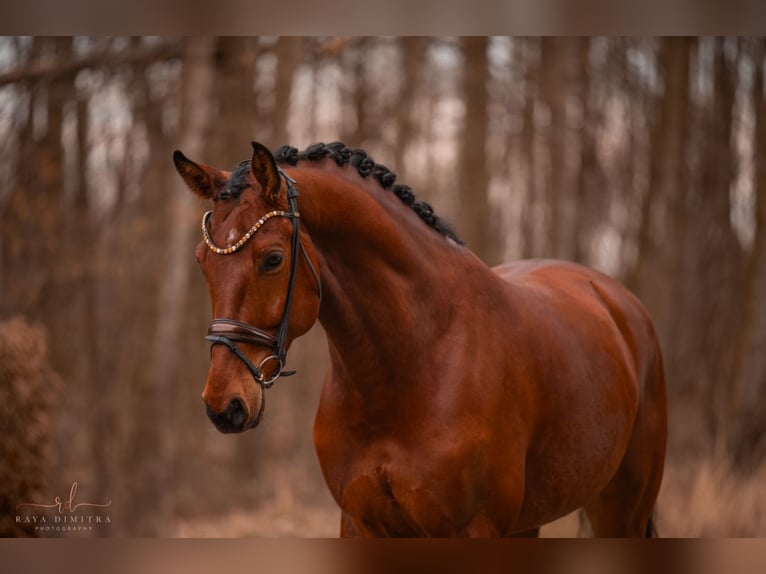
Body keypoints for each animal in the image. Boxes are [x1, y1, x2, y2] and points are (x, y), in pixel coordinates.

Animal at [172, 142, 664, 536]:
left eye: (273, 259)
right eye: (201, 262)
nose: (224, 405)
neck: (414, 365)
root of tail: (618, 301)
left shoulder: (474, 530)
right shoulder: (361, 524)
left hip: (621, 511)